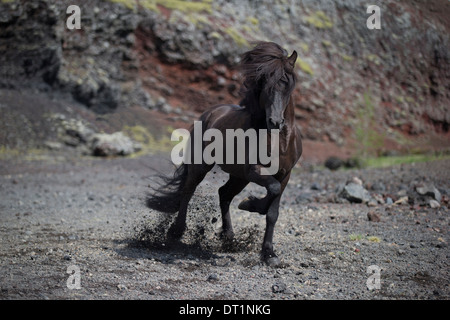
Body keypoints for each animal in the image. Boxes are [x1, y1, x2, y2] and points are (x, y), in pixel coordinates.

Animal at [148, 42, 302, 268]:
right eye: (264, 84)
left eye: (287, 84)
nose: (275, 122)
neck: (279, 141)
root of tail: (209, 114)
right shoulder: (254, 170)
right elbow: (271, 191)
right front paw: (249, 203)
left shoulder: (285, 175)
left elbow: (272, 212)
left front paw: (269, 254)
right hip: (202, 167)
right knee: (188, 191)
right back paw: (176, 232)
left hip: (239, 177)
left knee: (224, 194)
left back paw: (228, 235)